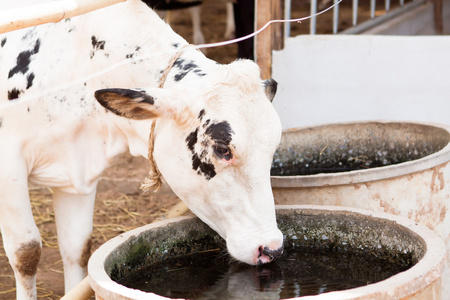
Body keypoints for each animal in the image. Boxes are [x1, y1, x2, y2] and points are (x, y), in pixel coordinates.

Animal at [0, 0, 282, 298]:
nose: (271, 248)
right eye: (222, 149)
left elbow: (77, 250)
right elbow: (26, 253)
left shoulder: (77, 173)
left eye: (272, 150)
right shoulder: (9, 169)